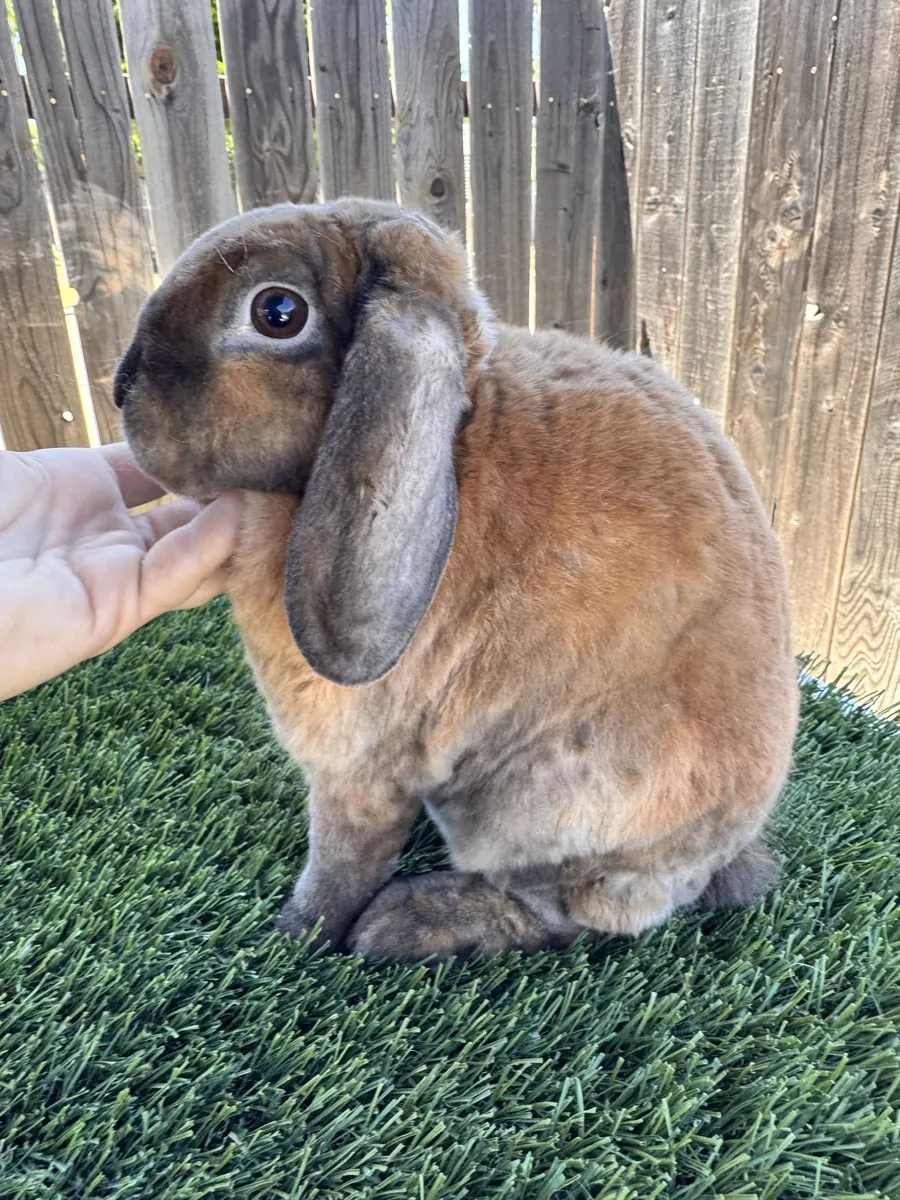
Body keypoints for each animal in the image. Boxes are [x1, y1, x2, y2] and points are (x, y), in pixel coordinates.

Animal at [115, 198, 799, 962]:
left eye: (278, 313)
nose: (121, 387)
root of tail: (716, 853)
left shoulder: (356, 775)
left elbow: (341, 863)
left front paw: (297, 940)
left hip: (546, 803)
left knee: (564, 909)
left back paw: (411, 923)